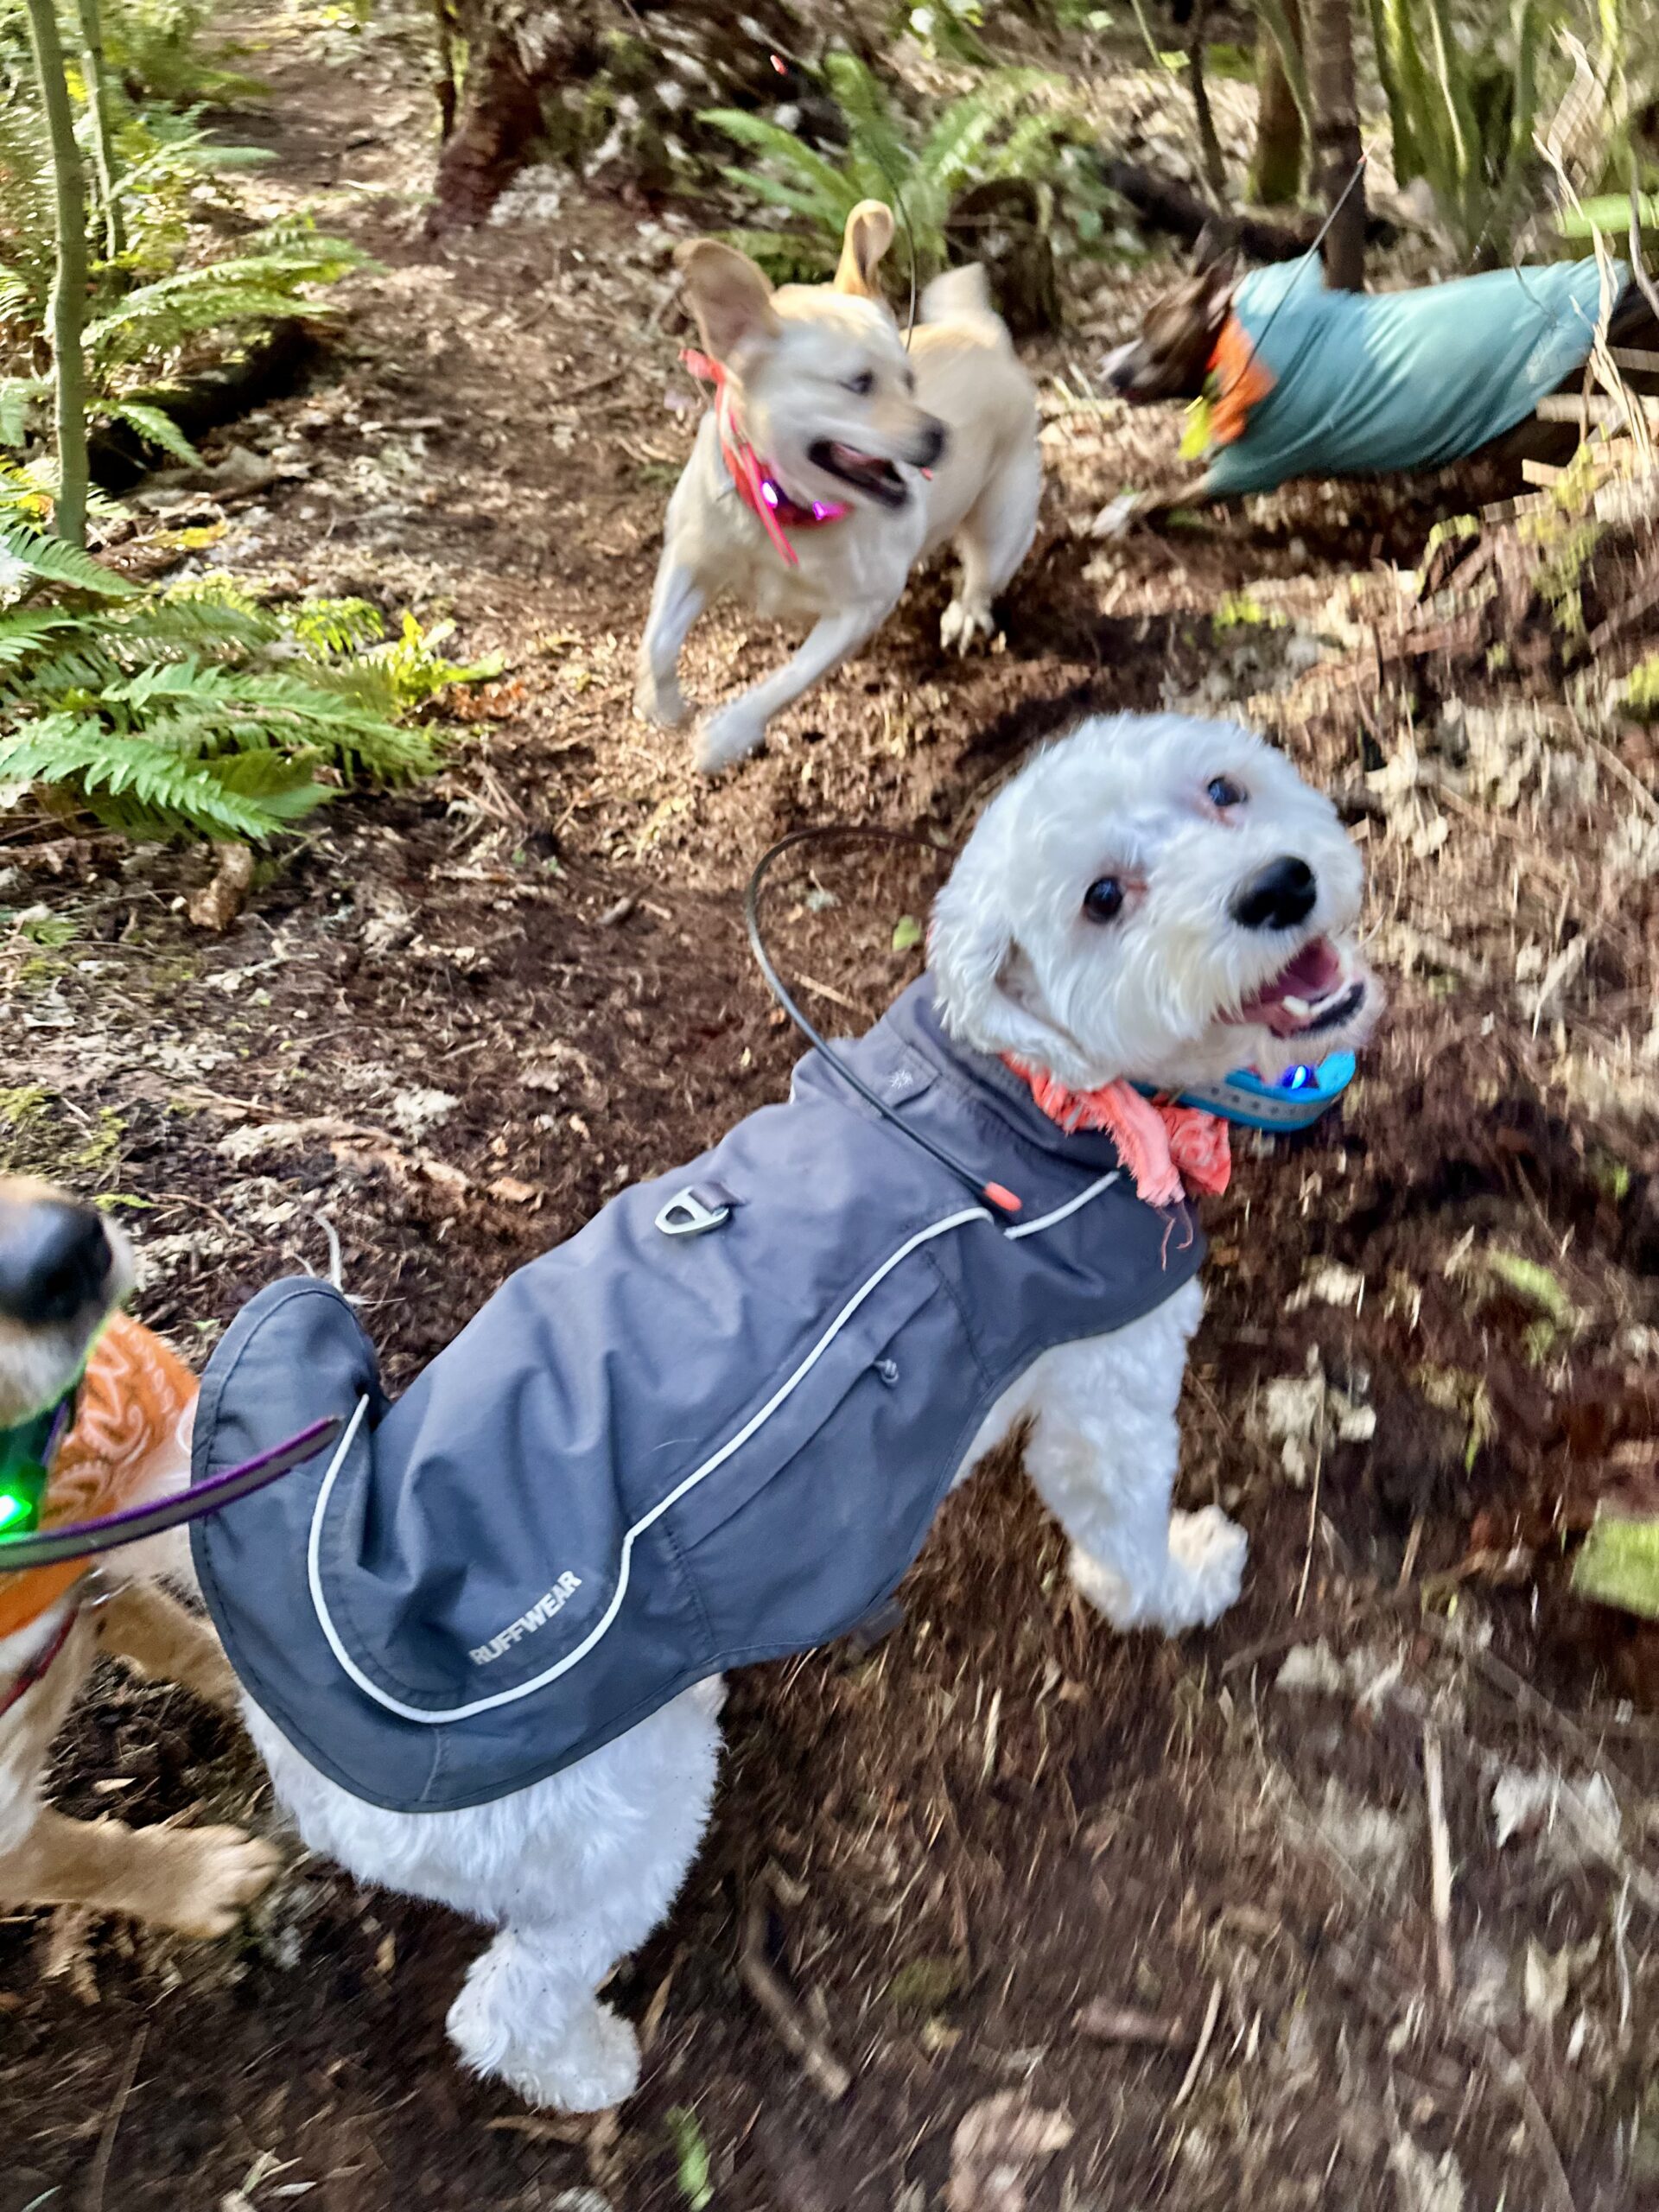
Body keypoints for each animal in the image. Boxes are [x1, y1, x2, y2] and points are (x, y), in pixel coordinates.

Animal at [234, 716, 1380, 2114]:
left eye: (1225, 789)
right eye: (1104, 899)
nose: (1278, 886)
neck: (1024, 1092)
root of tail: (294, 1731)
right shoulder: (1107, 1388)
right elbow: (1120, 1515)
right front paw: (1177, 1584)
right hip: (619, 1811)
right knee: (509, 1998)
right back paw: (588, 2069)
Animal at [637, 194, 1039, 779]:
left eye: (909, 381)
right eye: (859, 384)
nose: (941, 435)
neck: (785, 510)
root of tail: (986, 337)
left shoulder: (861, 611)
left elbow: (788, 678)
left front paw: (727, 735)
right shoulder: (691, 554)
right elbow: (658, 640)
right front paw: (661, 701)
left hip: (1002, 526)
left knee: (982, 580)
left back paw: (965, 615)